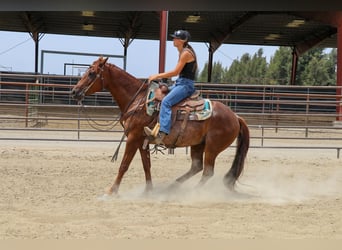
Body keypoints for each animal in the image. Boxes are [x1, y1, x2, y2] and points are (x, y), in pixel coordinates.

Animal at [71, 56, 250, 195]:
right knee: (197, 167)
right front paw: (148, 191)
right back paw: (171, 187)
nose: (74, 91)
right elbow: (147, 166)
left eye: (91, 73)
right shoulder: (141, 140)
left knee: (207, 172)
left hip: (212, 147)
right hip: (198, 144)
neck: (138, 100)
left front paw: (111, 191)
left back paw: (193, 192)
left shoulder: (133, 138)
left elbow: (124, 165)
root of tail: (235, 117)